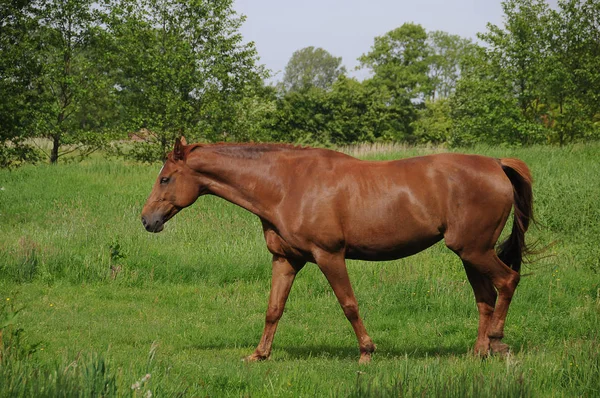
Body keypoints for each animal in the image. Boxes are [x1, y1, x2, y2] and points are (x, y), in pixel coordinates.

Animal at [142, 138, 536, 364]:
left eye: (165, 178)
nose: (148, 220)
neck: (287, 185)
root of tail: (496, 165)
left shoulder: (328, 255)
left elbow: (349, 305)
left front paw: (366, 352)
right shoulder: (286, 259)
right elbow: (273, 309)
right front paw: (260, 354)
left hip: (475, 251)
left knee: (508, 281)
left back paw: (497, 342)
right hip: (469, 254)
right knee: (486, 297)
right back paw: (480, 351)